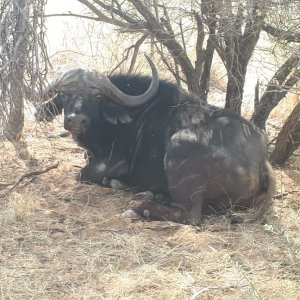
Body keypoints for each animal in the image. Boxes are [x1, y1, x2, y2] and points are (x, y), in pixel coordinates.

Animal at [36, 55, 276, 225]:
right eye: (64, 94)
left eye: (96, 96)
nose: (75, 120)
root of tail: (261, 160)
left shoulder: (110, 163)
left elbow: (82, 175)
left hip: (179, 146)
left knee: (190, 215)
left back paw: (140, 208)